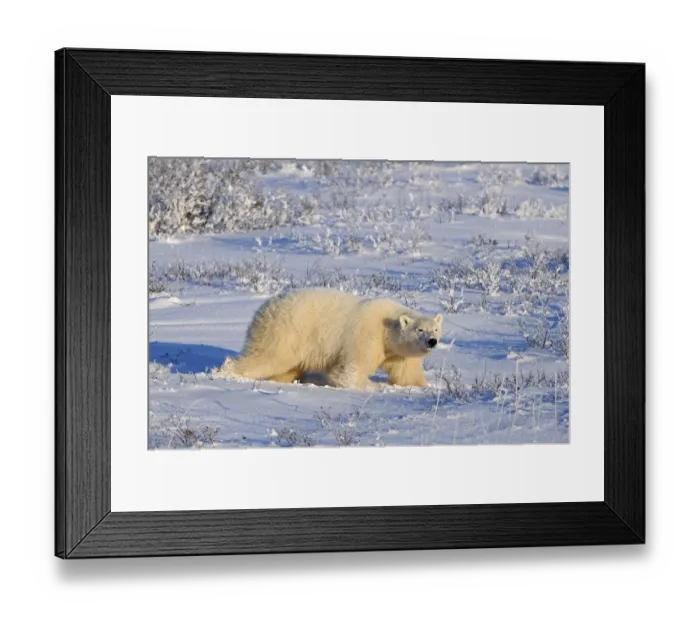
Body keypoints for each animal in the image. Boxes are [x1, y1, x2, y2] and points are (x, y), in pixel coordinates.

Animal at [217, 288, 443, 390]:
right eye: (420, 330)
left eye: (436, 329)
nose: (432, 341)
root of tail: (265, 308)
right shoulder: (365, 335)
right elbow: (348, 372)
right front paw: (372, 386)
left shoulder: (397, 353)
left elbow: (406, 372)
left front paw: (423, 387)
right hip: (286, 331)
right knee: (268, 357)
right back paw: (226, 372)